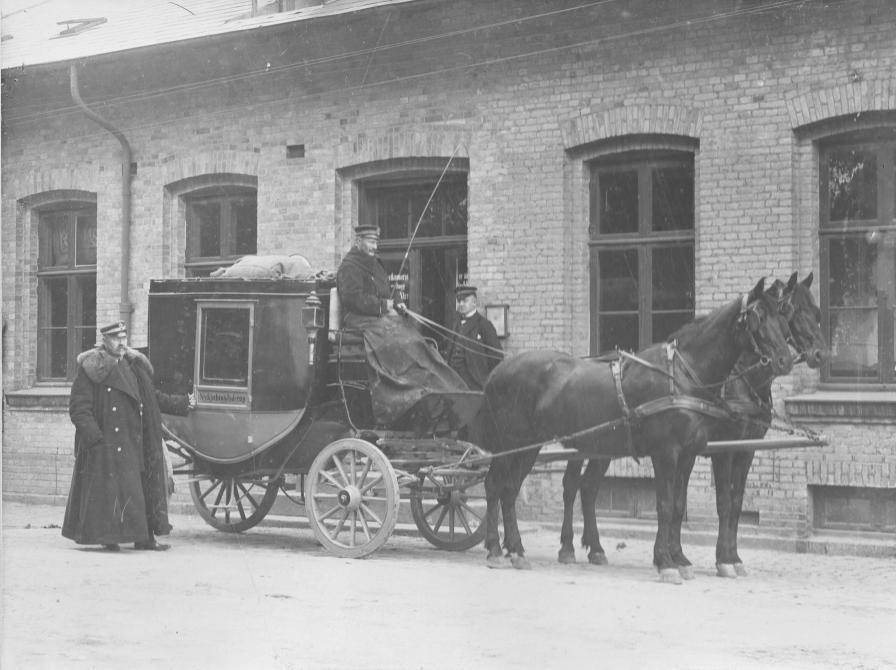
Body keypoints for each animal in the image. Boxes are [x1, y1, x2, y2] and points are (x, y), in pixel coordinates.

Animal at [472, 276, 796, 584]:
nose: (786, 360)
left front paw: (680, 558)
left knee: (519, 489)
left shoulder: (690, 454)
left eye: (783, 317)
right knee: (500, 487)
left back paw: (517, 549)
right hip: (511, 444)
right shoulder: (670, 453)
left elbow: (680, 505)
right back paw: (503, 549)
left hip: (536, 447)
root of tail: (497, 371)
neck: (682, 375)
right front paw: (667, 562)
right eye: (758, 317)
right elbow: (668, 504)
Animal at [560, 272, 824, 576]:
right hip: (581, 445)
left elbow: (723, 502)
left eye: (815, 310)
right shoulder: (721, 450)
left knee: (589, 488)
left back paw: (596, 548)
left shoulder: (743, 450)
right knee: (571, 486)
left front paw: (713, 556)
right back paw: (567, 547)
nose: (819, 354)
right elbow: (720, 502)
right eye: (790, 310)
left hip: (603, 447)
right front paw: (722, 559)